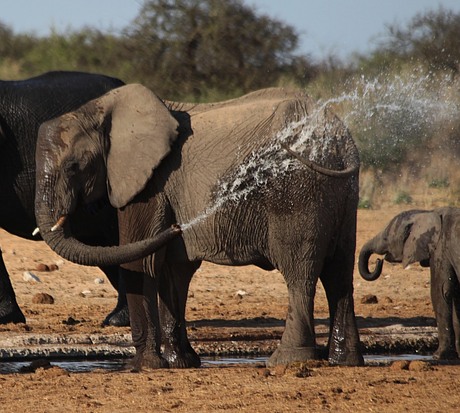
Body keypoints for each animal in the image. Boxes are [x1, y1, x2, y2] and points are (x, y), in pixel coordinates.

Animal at [34, 85, 364, 368]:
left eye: (73, 167)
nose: (179, 227)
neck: (99, 108)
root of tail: (343, 140)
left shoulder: (150, 182)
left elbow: (142, 263)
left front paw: (141, 367)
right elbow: (173, 269)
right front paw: (180, 363)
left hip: (296, 189)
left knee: (299, 272)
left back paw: (288, 361)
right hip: (342, 193)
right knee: (339, 272)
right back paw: (344, 361)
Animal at [360, 208, 460, 358]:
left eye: (386, 239)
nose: (379, 261)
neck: (427, 213)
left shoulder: (440, 249)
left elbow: (441, 292)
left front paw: (438, 356)